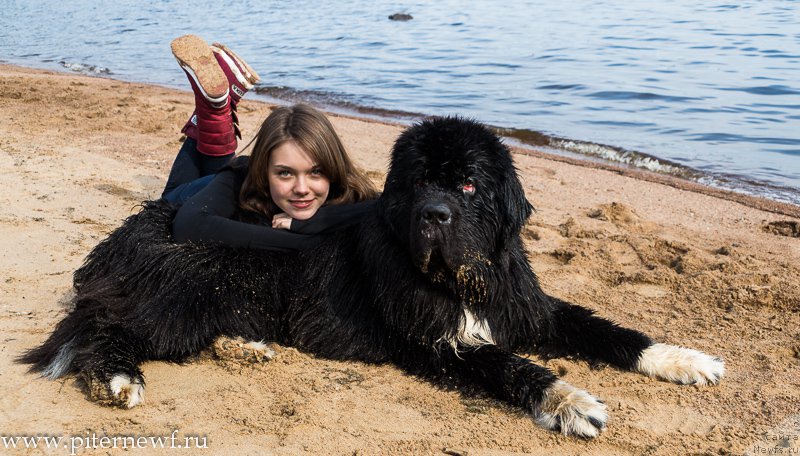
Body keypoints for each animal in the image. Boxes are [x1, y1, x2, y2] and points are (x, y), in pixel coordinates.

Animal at [23, 116, 724, 436]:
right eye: (417, 184)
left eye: (468, 185)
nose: (436, 215)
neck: (458, 280)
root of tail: (126, 232)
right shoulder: (439, 343)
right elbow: (508, 365)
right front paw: (570, 401)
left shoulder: (528, 307)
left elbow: (607, 329)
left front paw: (684, 359)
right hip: (186, 290)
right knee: (107, 327)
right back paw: (119, 376)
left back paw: (246, 349)